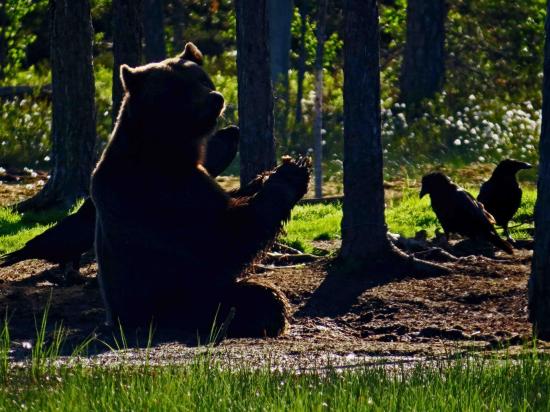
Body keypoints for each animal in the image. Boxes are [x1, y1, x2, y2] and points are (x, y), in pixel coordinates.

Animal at [92, 42, 312, 338]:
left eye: (203, 79)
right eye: (179, 89)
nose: (216, 98)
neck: (167, 150)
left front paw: (270, 173)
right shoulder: (159, 194)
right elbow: (221, 237)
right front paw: (289, 175)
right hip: (175, 302)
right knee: (255, 297)